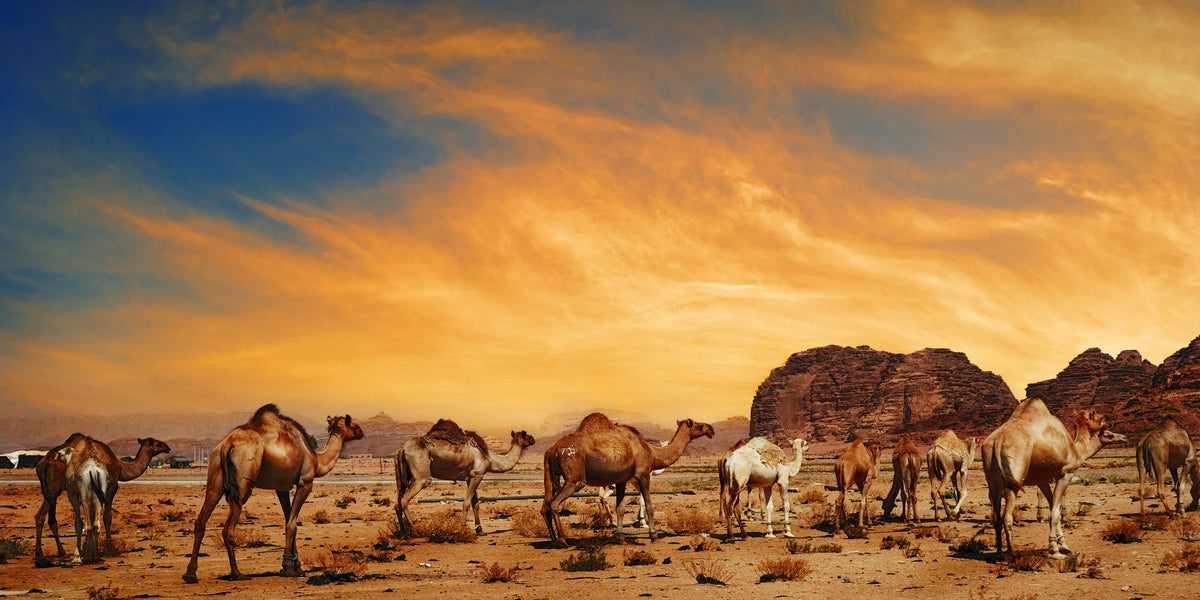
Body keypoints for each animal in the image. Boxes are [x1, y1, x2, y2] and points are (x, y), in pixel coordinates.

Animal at [36, 435, 170, 561]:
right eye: (158, 444)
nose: (167, 447)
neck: (121, 466)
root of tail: (43, 464)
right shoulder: (111, 487)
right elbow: (107, 517)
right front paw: (108, 546)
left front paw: (87, 547)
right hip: (54, 489)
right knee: (52, 519)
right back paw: (61, 551)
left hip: (47, 491)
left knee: (40, 515)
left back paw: (41, 552)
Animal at [182, 405, 363, 583]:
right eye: (353, 425)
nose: (361, 432)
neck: (317, 460)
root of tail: (228, 444)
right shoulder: (305, 482)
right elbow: (292, 524)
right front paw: (288, 569)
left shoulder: (282, 487)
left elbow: (289, 521)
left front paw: (297, 567)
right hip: (243, 482)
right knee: (228, 529)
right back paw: (237, 573)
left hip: (215, 475)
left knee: (201, 520)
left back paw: (190, 574)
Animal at [395, 420, 535, 535]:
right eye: (525, 435)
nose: (533, 439)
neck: (490, 459)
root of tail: (402, 449)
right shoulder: (477, 475)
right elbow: (467, 503)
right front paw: (462, 530)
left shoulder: (470, 478)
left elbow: (475, 504)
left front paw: (480, 530)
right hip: (421, 477)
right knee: (405, 500)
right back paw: (416, 531)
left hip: (402, 476)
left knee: (398, 502)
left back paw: (403, 532)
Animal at [541, 413, 714, 547]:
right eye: (698, 425)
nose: (711, 429)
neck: (653, 453)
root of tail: (552, 449)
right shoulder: (643, 474)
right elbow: (649, 505)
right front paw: (654, 535)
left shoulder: (621, 480)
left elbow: (621, 508)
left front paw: (620, 537)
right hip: (575, 478)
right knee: (554, 503)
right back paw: (562, 540)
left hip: (551, 475)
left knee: (545, 506)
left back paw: (553, 540)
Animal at [982, 398, 1127, 558]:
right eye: (1100, 419)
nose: (1124, 437)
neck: (1077, 450)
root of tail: (998, 440)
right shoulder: (1066, 473)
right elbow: (1055, 513)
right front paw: (1055, 549)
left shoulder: (1042, 480)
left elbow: (1052, 506)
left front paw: (1062, 544)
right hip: (1014, 477)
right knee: (1007, 516)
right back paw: (1011, 554)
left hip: (992, 480)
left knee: (995, 516)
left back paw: (999, 553)